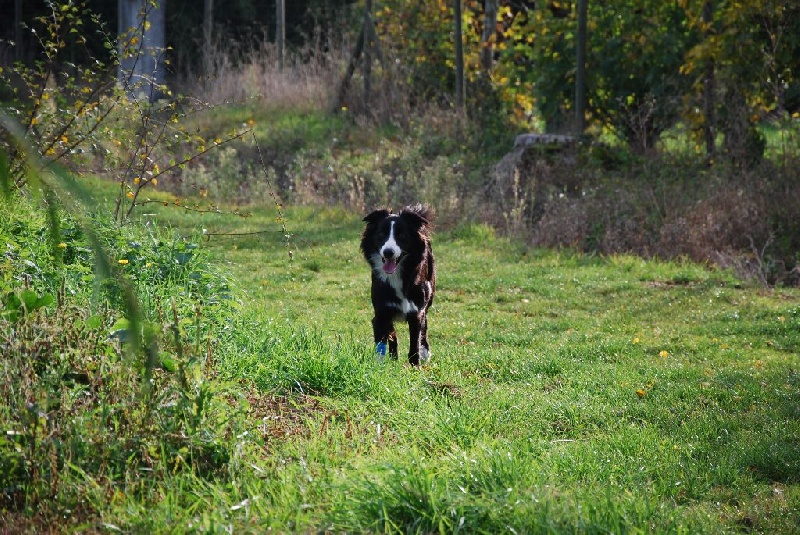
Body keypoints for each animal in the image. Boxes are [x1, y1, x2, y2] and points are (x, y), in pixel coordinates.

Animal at [362, 205, 438, 368]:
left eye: (402, 236)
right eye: (381, 234)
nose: (388, 252)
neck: (397, 275)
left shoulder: (416, 310)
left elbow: (415, 342)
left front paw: (416, 366)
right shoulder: (382, 310)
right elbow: (385, 338)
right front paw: (382, 365)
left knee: (425, 324)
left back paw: (425, 352)